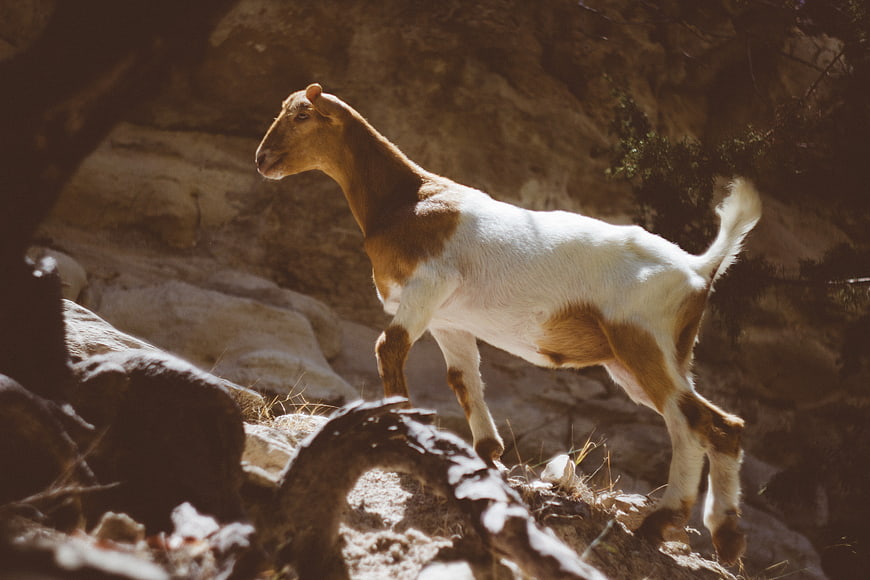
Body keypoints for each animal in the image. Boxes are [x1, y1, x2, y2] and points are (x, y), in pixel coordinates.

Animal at [255, 83, 761, 564]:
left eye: (302, 115)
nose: (262, 159)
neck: (406, 199)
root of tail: (699, 267)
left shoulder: (427, 287)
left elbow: (389, 347)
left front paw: (397, 426)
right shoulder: (449, 320)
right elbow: (463, 378)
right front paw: (488, 454)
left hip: (643, 341)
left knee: (695, 422)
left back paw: (667, 523)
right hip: (649, 356)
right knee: (718, 425)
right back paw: (723, 536)